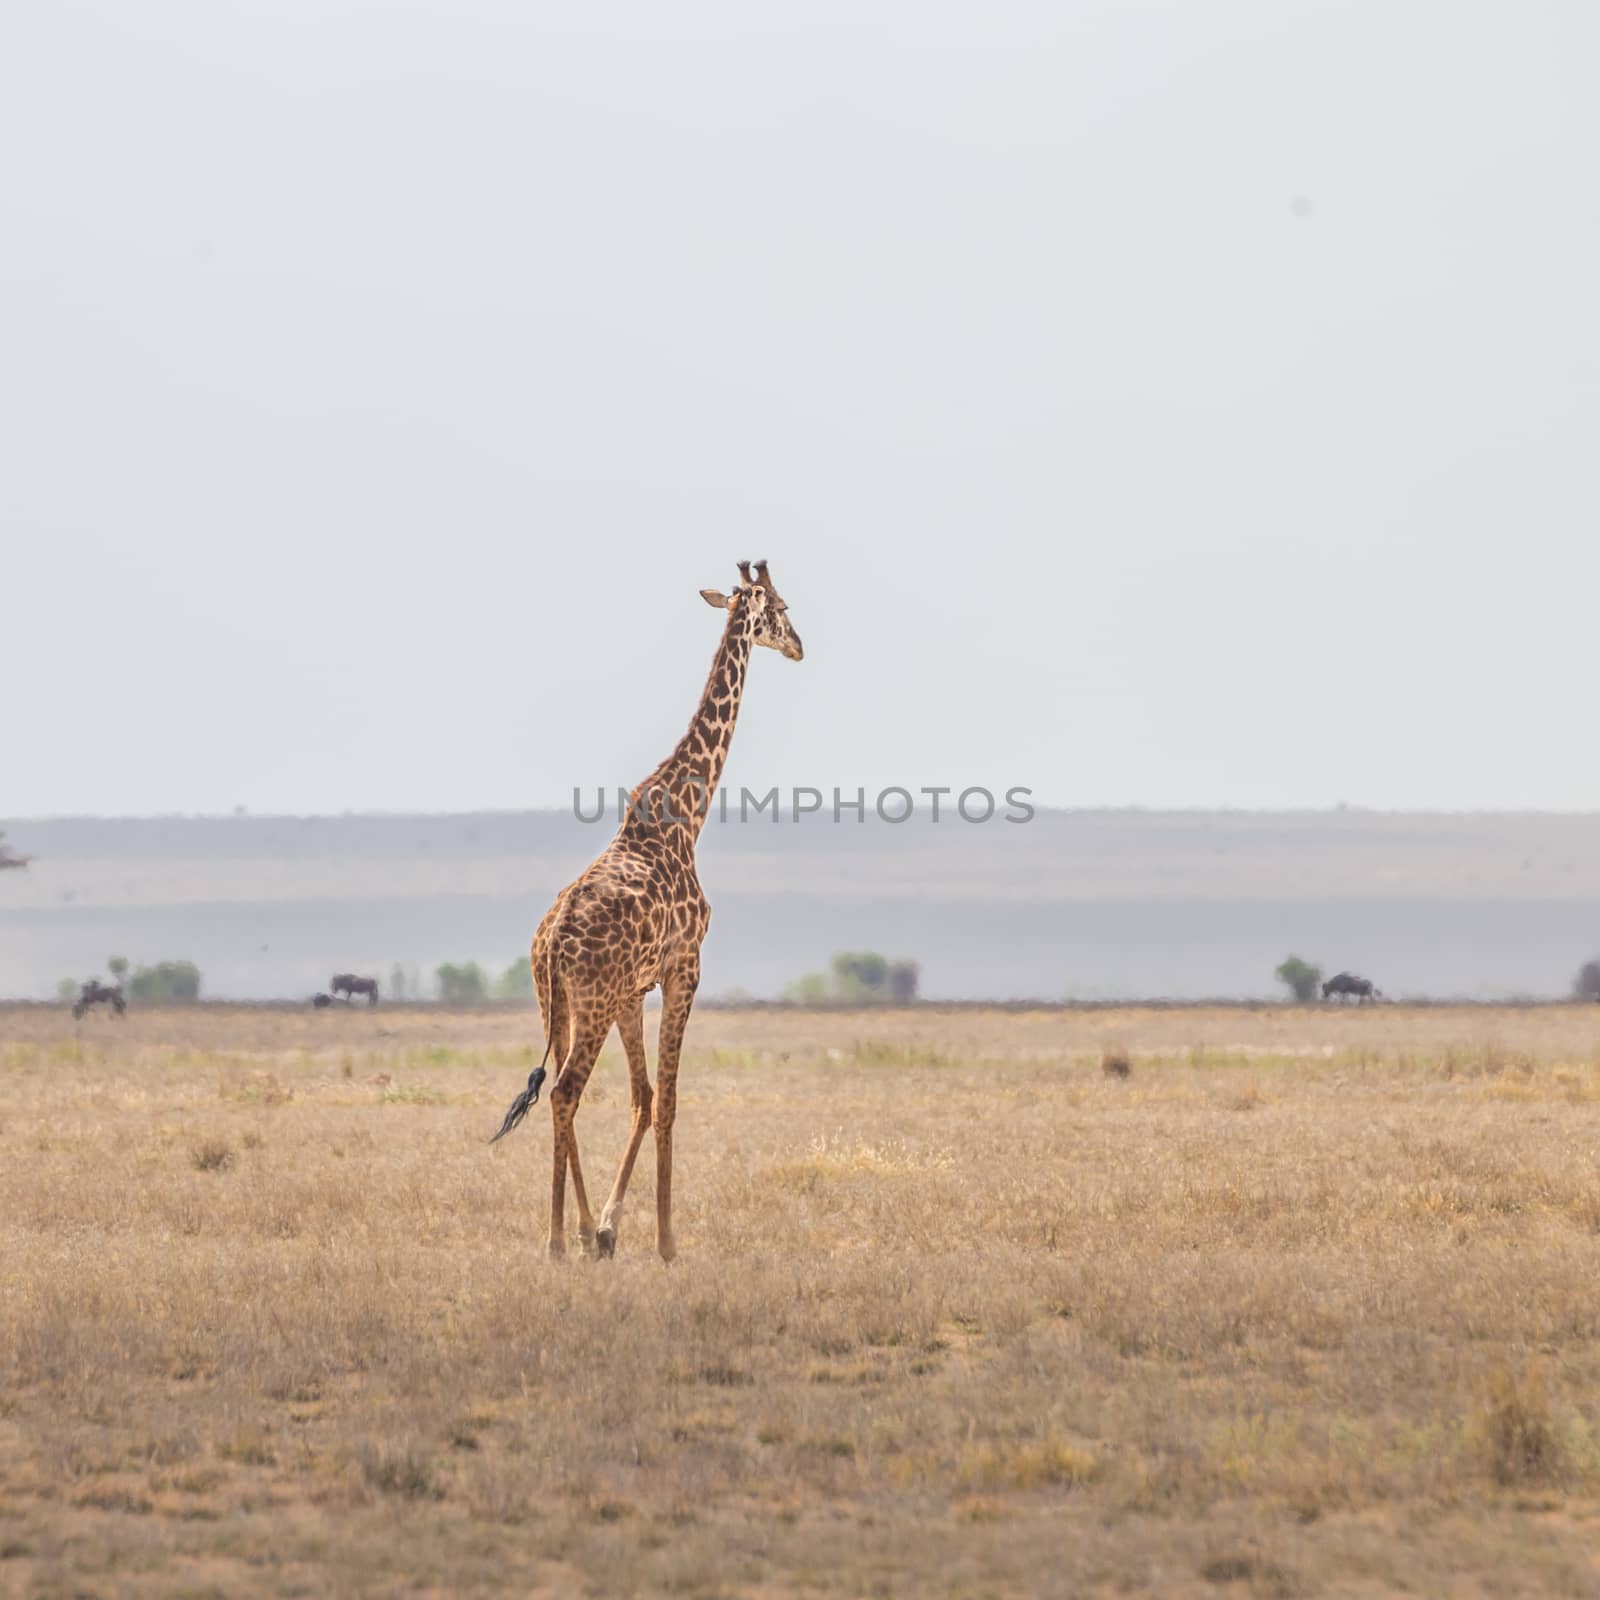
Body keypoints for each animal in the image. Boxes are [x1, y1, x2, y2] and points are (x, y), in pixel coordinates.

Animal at [486, 556, 806, 1254]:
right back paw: (560, 1239)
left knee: (561, 1092)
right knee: (565, 1092)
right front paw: (665, 1241)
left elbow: (643, 1096)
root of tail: (551, 942)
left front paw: (609, 1229)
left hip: (562, 1003)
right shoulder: (685, 967)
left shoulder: (635, 990)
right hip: (592, 1003)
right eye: (782, 608)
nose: (801, 646)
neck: (688, 814)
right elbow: (672, 1098)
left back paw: (576, 1232)